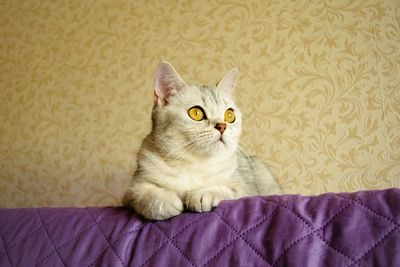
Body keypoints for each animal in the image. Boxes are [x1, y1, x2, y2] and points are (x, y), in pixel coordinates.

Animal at [122, 61, 282, 221]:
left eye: (230, 115)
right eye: (196, 113)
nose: (222, 126)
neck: (193, 163)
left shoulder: (246, 189)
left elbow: (229, 189)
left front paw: (203, 195)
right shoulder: (130, 192)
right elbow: (141, 193)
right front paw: (164, 201)